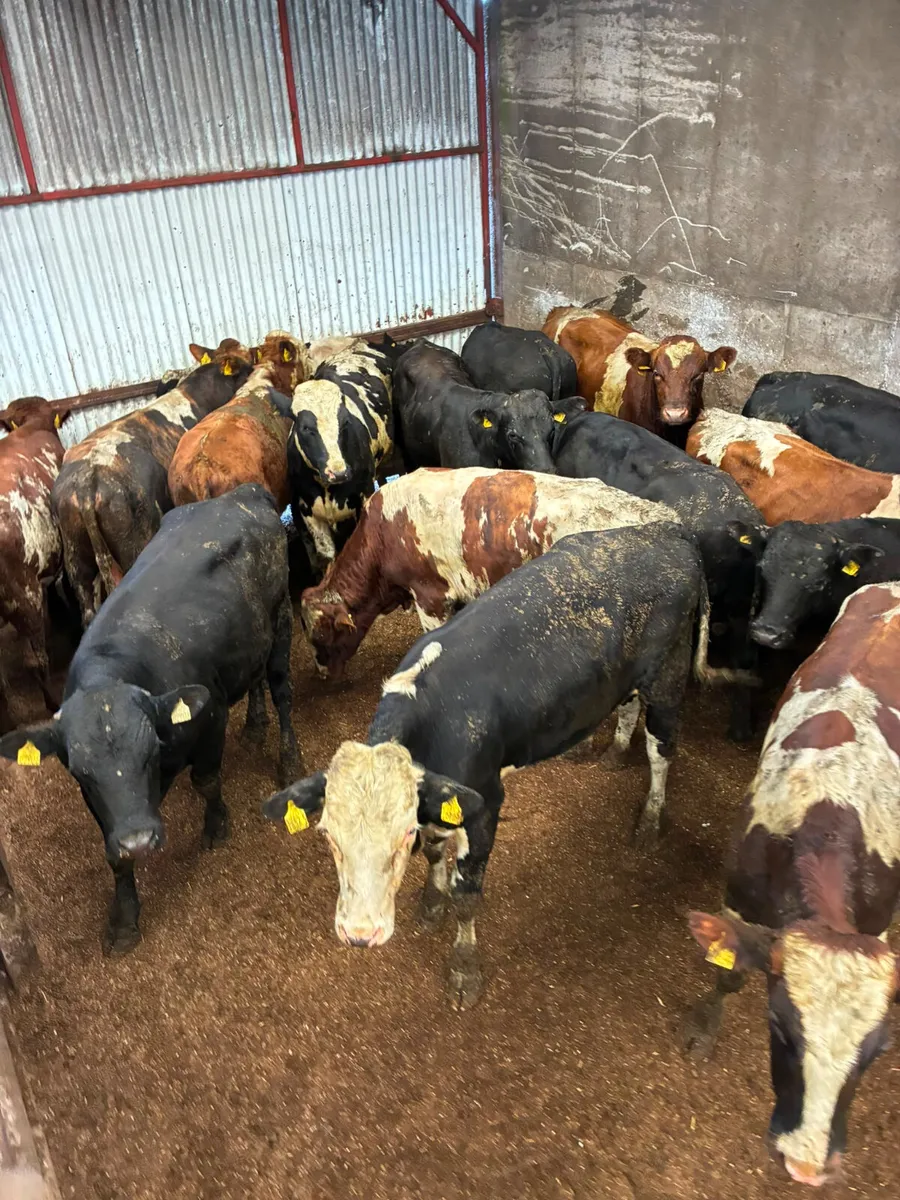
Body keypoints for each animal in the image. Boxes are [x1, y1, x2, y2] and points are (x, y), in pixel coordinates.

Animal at [0, 485, 300, 955]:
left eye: (149, 754)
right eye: (82, 772)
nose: (140, 841)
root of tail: (240, 493)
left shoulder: (210, 716)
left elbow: (206, 781)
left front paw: (217, 826)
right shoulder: (107, 812)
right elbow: (114, 856)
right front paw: (124, 919)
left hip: (281, 616)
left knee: (281, 688)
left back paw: (288, 758)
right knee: (253, 679)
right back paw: (254, 726)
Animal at [266, 524, 749, 1008]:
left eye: (403, 835)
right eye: (328, 834)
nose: (359, 934)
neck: (434, 715)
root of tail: (667, 534)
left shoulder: (484, 804)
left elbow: (467, 894)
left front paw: (464, 967)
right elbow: (437, 852)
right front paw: (431, 900)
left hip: (667, 679)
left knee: (660, 749)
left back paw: (650, 818)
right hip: (624, 680)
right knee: (630, 710)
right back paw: (614, 753)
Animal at [279, 337, 403, 573]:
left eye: (345, 422)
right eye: (305, 427)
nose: (339, 473)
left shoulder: (363, 497)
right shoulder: (308, 512)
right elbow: (327, 556)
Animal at [685, 581, 900, 1188]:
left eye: (876, 1051)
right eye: (780, 1029)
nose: (805, 1165)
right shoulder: (738, 902)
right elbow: (728, 973)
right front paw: (705, 1034)